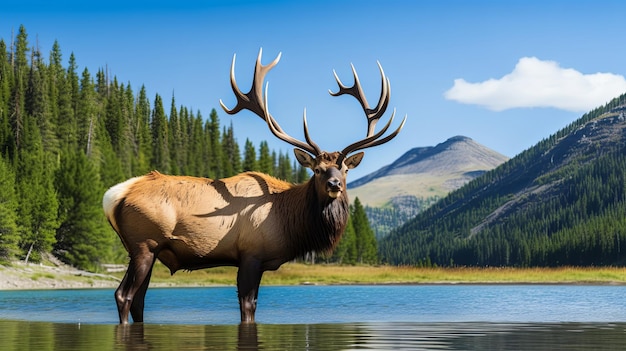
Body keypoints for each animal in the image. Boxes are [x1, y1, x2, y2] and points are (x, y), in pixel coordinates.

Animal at [102, 49, 404, 324]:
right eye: (317, 170)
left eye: (344, 170)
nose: (334, 185)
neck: (288, 220)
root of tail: (114, 195)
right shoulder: (250, 254)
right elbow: (248, 306)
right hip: (144, 245)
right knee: (124, 295)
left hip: (142, 250)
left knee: (139, 300)